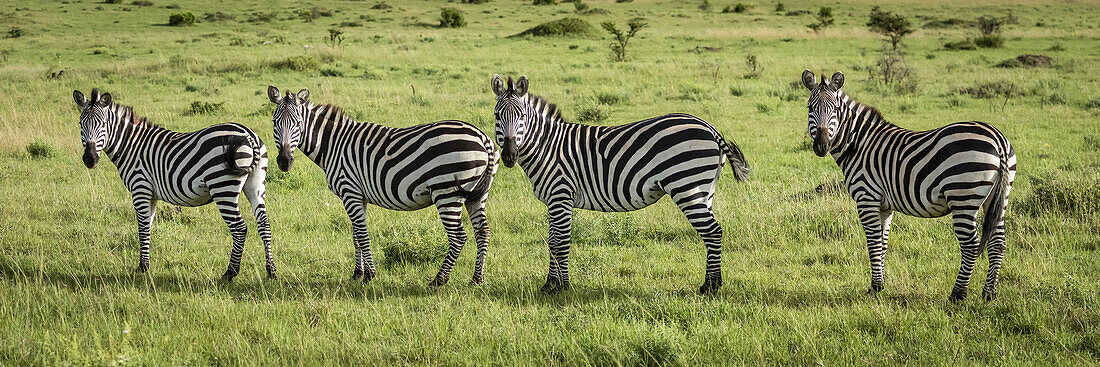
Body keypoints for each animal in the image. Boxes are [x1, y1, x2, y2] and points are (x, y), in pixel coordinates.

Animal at [72, 89, 275, 281]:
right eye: (81, 125)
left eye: (103, 125)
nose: (90, 159)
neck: (131, 146)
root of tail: (249, 135)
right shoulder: (151, 194)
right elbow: (148, 226)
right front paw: (145, 264)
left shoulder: (140, 188)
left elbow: (142, 227)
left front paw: (143, 267)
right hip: (255, 185)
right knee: (263, 224)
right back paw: (271, 270)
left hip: (223, 186)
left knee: (239, 228)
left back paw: (230, 273)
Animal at [268, 86, 501, 285]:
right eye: (274, 122)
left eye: (297, 123)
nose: (284, 161)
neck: (334, 145)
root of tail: (483, 137)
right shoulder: (357, 195)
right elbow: (356, 235)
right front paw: (357, 273)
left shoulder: (349, 190)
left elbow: (362, 234)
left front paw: (370, 275)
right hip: (477, 194)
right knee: (483, 232)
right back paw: (476, 279)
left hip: (447, 192)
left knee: (459, 237)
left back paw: (439, 280)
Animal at [488, 75, 748, 294]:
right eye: (497, 116)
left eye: (522, 117)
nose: (509, 156)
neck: (547, 147)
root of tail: (710, 128)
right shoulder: (553, 201)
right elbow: (552, 241)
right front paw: (550, 284)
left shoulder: (561, 195)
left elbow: (559, 242)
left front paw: (563, 287)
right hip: (705, 191)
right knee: (712, 232)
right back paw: (712, 282)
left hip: (687, 187)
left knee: (712, 231)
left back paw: (710, 287)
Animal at [800, 70, 1012, 303]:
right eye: (810, 108)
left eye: (835, 109)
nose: (821, 146)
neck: (858, 145)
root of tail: (998, 139)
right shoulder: (885, 206)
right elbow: (882, 244)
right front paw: (880, 284)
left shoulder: (866, 197)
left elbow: (873, 243)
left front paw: (875, 287)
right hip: (997, 199)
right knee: (998, 243)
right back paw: (989, 293)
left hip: (963, 196)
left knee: (971, 245)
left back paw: (957, 295)